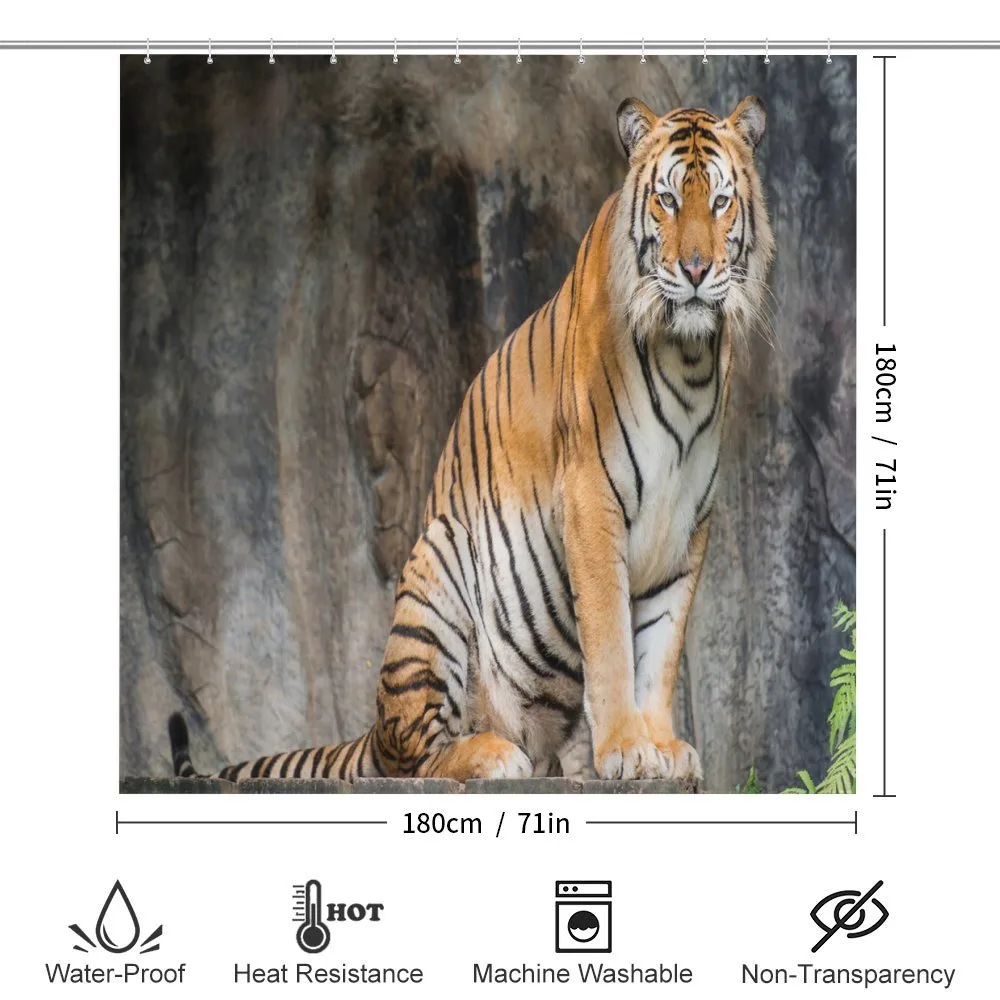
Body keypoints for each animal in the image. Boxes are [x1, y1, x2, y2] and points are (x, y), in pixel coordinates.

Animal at [169, 95, 774, 785]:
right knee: (416, 756)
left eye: (720, 202)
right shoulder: (591, 500)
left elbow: (661, 652)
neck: (688, 355)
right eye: (668, 200)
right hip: (440, 564)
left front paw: (663, 747)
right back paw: (493, 752)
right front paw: (625, 747)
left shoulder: (688, 523)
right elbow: (613, 643)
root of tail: (371, 729)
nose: (696, 271)